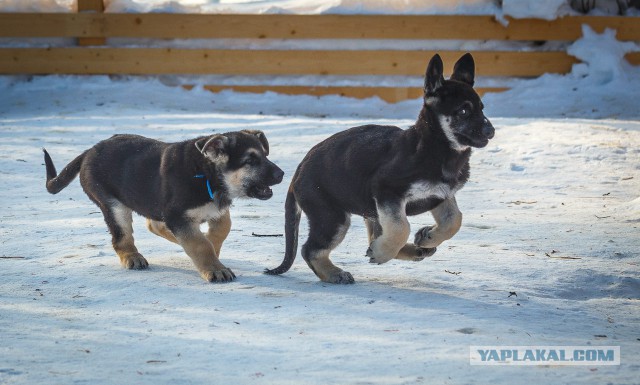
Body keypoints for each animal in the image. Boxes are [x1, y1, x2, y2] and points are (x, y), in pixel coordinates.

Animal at [43, 130, 284, 282]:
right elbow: (200, 244)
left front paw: (213, 249)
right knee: (122, 238)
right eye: (251, 161)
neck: (207, 174)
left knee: (154, 225)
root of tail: (89, 151)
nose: (282, 174)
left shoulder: (215, 210)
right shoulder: (178, 216)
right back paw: (132, 257)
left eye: (265, 155)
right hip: (114, 206)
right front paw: (215, 268)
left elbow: (220, 230)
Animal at [264, 53, 496, 282]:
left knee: (371, 236)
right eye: (464, 111)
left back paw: (416, 249)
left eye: (482, 108)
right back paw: (334, 273)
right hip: (332, 217)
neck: (434, 149)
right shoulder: (387, 191)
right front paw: (383, 252)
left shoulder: (440, 195)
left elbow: (455, 220)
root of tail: (298, 172)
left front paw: (428, 237)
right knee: (310, 250)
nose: (491, 131)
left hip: (365, 214)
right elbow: (402, 226)